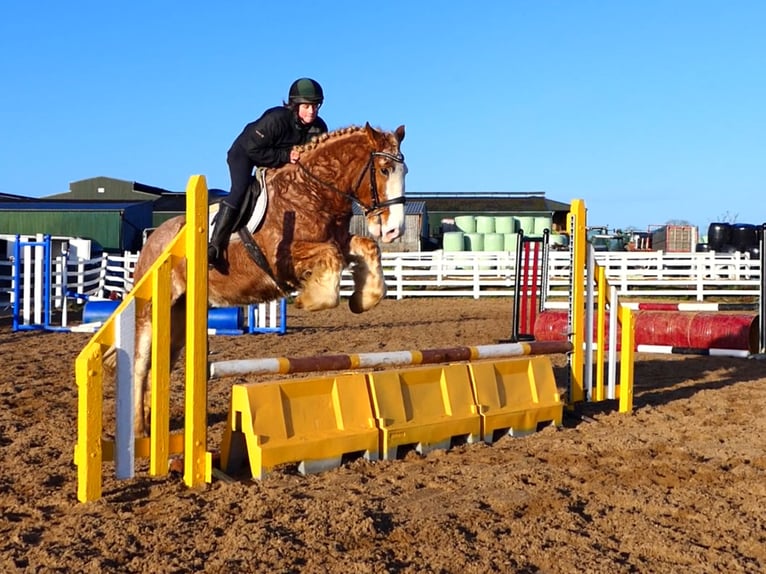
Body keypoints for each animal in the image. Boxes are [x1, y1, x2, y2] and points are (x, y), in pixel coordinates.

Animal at [129, 123, 407, 435]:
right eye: (384, 169)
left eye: (404, 171)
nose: (394, 230)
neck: (311, 192)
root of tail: (153, 239)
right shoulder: (281, 256)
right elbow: (331, 257)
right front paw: (309, 300)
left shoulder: (340, 240)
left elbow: (366, 248)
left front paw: (362, 300)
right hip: (151, 310)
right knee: (140, 364)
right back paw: (138, 429)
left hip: (179, 318)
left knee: (160, 364)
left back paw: (152, 421)